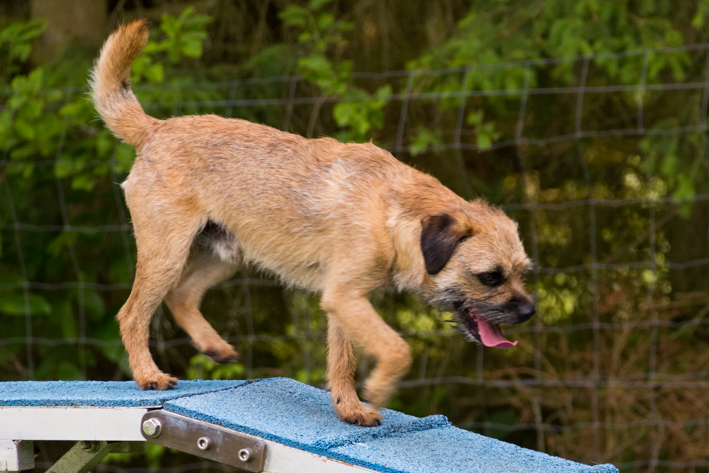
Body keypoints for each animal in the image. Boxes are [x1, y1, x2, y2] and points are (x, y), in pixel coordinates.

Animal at [92, 20, 536, 426]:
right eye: (490, 277)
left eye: (522, 273)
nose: (530, 312)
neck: (393, 209)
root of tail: (156, 129)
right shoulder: (345, 297)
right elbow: (397, 349)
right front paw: (378, 389)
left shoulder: (346, 301)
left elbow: (344, 360)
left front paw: (349, 407)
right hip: (166, 254)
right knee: (132, 314)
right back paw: (148, 375)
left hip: (228, 255)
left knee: (182, 295)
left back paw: (213, 346)